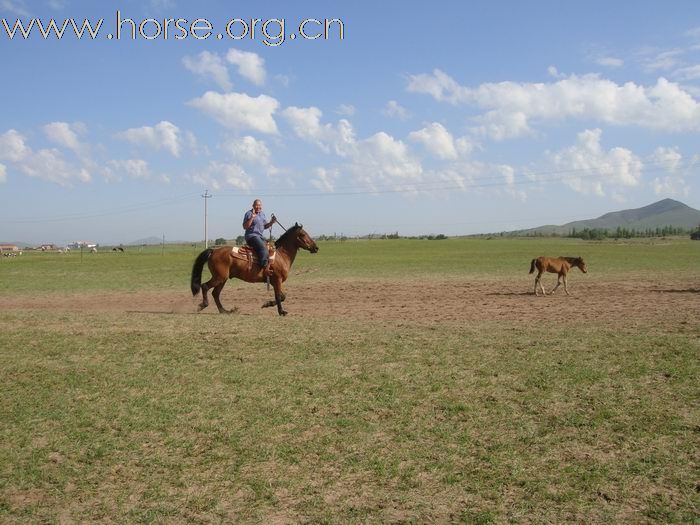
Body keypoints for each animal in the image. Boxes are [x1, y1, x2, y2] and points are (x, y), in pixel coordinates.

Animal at [190, 222, 318, 316]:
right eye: (303, 234)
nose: (316, 247)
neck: (281, 255)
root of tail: (213, 251)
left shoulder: (275, 282)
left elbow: (282, 296)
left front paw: (268, 304)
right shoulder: (277, 280)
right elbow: (279, 296)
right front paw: (281, 311)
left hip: (223, 279)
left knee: (215, 293)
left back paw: (224, 311)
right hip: (219, 277)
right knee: (205, 286)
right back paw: (203, 305)